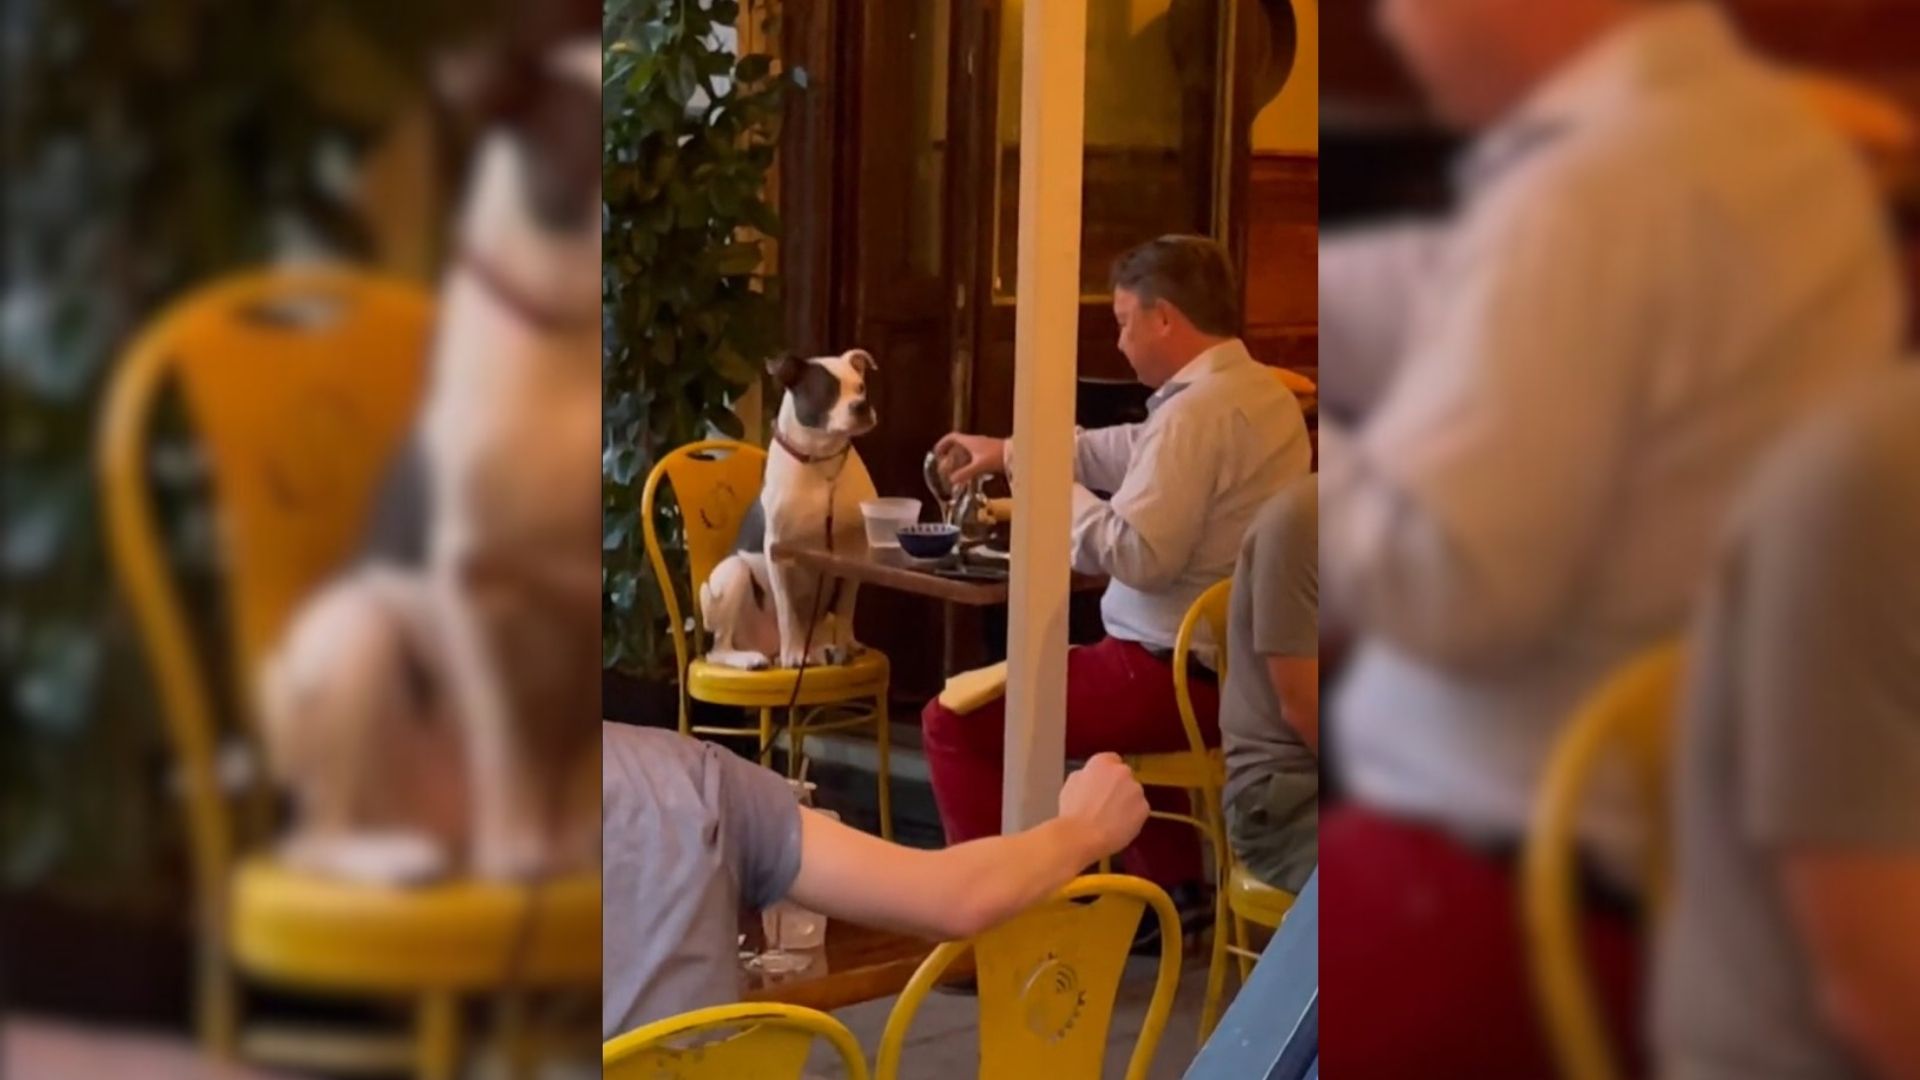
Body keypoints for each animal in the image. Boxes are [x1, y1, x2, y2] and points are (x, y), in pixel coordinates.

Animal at [257, 10, 599, 883]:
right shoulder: (469, 587)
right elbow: (506, 737)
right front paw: (519, 852)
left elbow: (581, 751)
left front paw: (581, 842)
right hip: (356, 635)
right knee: (312, 835)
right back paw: (397, 860)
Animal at [702, 349, 879, 668]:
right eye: (826, 391)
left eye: (861, 387)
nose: (862, 405)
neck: (822, 462)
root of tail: (766, 646)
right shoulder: (779, 553)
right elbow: (788, 611)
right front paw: (795, 654)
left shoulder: (854, 555)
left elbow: (846, 607)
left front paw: (847, 642)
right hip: (733, 573)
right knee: (718, 648)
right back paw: (752, 659)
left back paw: (823, 650)